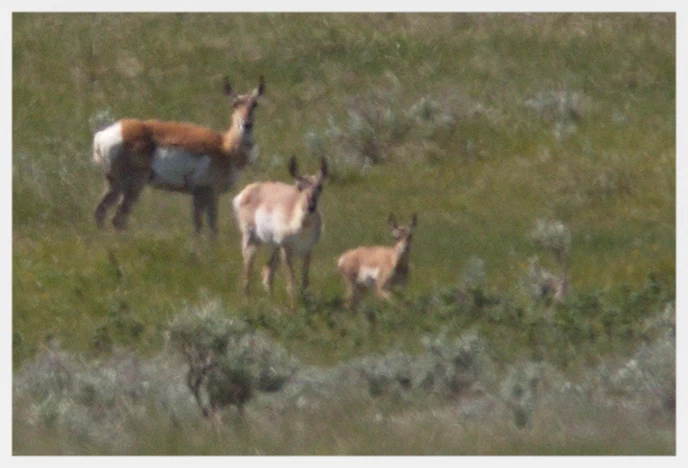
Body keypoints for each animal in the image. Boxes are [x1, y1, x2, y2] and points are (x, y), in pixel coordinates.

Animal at [91, 76, 264, 234]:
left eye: (254, 104)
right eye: (235, 104)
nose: (247, 124)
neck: (224, 146)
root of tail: (104, 135)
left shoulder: (199, 195)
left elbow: (199, 226)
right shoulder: (208, 192)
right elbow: (211, 227)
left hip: (115, 183)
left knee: (101, 211)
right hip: (132, 184)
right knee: (118, 217)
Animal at [231, 157, 328, 304]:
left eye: (319, 187)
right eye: (299, 187)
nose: (310, 206)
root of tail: (249, 189)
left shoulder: (307, 250)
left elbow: (305, 279)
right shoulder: (285, 249)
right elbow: (291, 281)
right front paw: (294, 306)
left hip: (273, 246)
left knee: (267, 269)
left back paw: (270, 299)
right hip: (251, 240)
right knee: (248, 266)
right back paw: (246, 300)